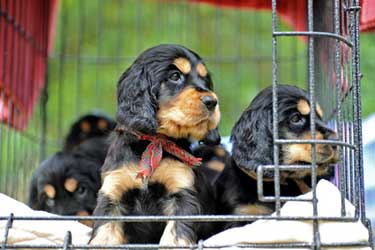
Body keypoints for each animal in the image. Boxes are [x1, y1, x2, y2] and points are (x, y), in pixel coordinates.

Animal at [89, 44, 222, 246]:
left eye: (205, 80)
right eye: (175, 76)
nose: (212, 101)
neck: (154, 141)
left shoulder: (182, 192)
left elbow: (176, 233)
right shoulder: (113, 192)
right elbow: (105, 232)